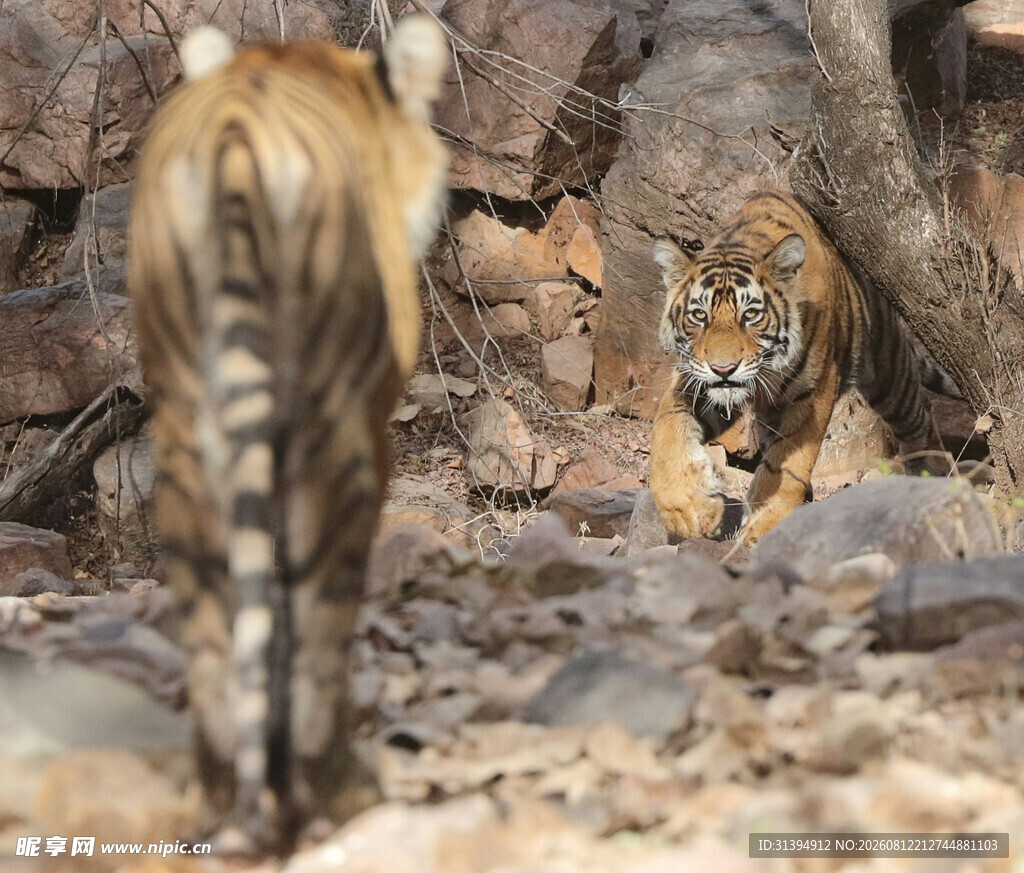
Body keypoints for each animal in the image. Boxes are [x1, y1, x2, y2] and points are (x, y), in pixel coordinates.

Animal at [126, 17, 448, 850]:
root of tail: (237, 132)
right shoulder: (370, 420)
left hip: (181, 425)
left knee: (213, 623)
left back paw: (220, 795)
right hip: (335, 434)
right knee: (320, 619)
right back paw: (334, 789)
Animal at [649, 190, 956, 545]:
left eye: (751, 315)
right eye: (699, 316)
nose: (724, 369)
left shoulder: (814, 393)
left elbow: (788, 462)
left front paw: (764, 527)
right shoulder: (695, 381)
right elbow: (667, 429)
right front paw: (687, 510)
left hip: (889, 370)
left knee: (919, 420)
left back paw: (934, 478)